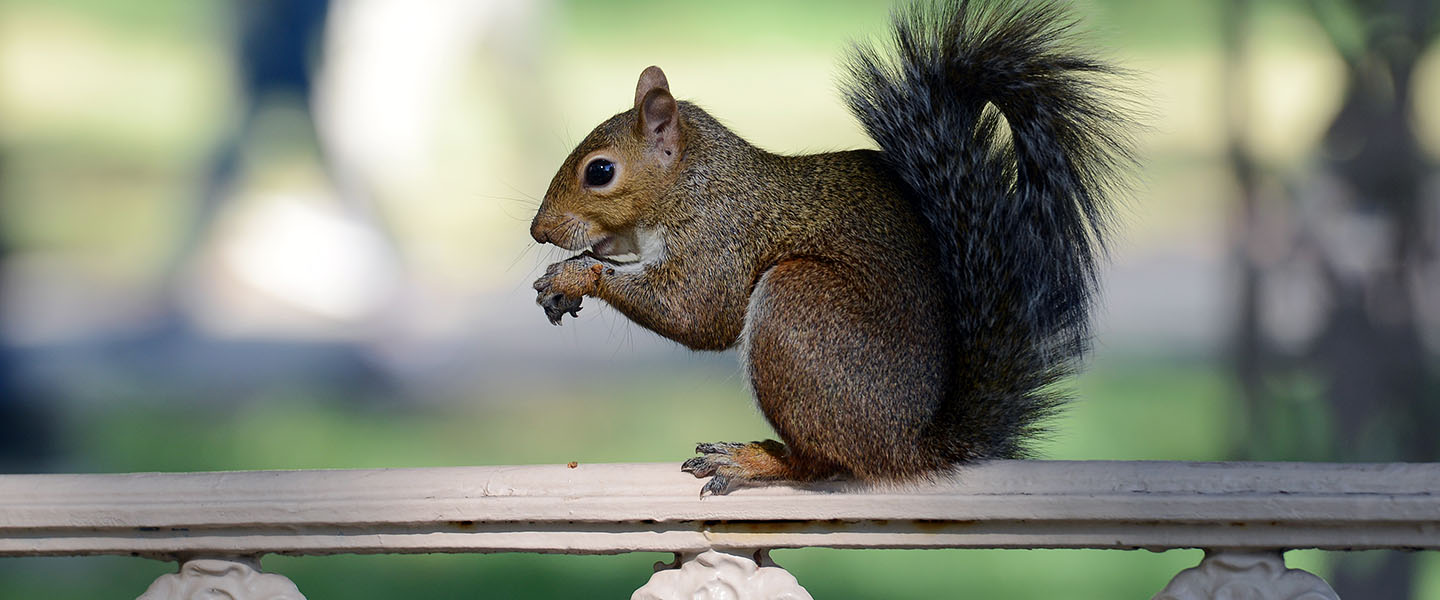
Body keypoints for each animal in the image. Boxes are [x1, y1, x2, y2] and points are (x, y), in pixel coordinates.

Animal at [529, 0, 1134, 492]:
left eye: (600, 171)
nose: (539, 231)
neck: (696, 182)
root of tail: (907, 446)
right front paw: (563, 283)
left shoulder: (720, 236)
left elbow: (699, 313)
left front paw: (573, 275)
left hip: (797, 307)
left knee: (821, 463)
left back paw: (755, 462)